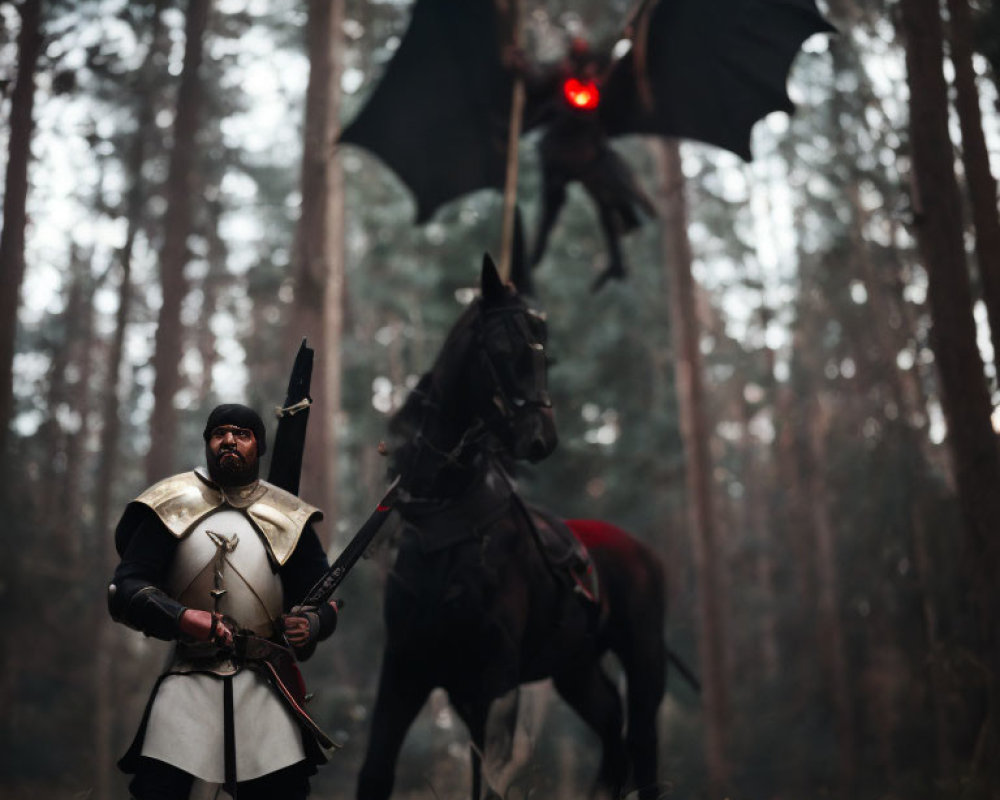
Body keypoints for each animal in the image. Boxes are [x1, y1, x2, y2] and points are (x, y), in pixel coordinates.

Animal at [356, 258, 676, 800]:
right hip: (576, 670)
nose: (541, 439)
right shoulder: (405, 668)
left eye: (546, 351)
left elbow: (488, 780)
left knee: (643, 744)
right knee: (612, 727)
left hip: (645, 659)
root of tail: (643, 551)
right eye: (503, 347)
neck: (449, 522)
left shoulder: (495, 679)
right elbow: (376, 770)